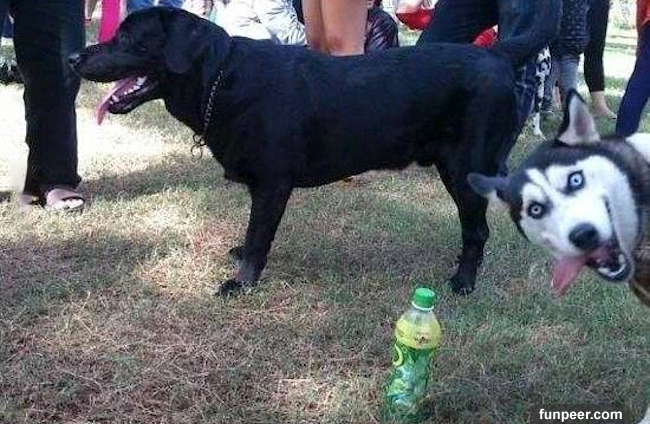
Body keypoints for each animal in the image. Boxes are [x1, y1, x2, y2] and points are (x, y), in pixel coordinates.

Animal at [70, 7, 550, 296]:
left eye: (129, 37)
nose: (74, 57)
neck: (221, 79)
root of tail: (498, 56)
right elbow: (252, 236)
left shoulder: (272, 184)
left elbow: (258, 236)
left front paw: (242, 283)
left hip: (464, 167)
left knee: (477, 231)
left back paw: (464, 281)